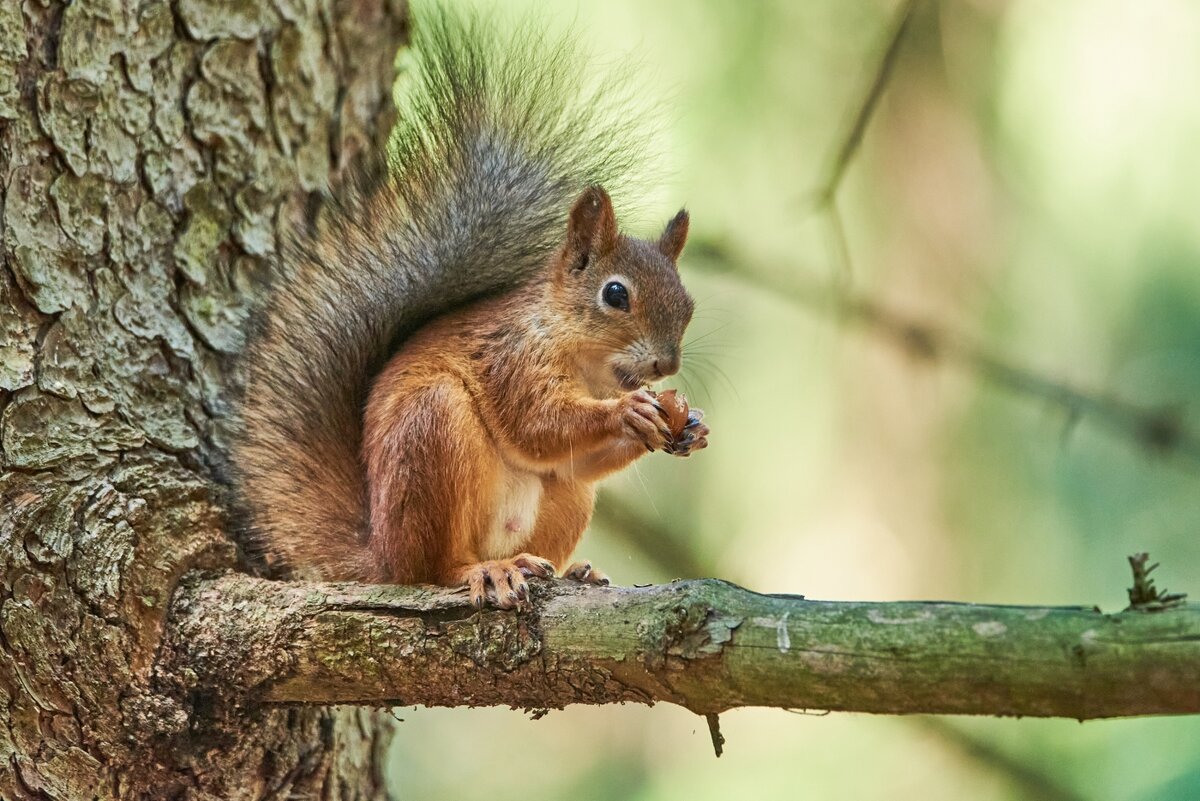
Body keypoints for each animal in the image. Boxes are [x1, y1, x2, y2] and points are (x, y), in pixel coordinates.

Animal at [229, 6, 705, 606]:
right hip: (433, 428)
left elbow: (575, 457)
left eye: (688, 304)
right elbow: (537, 424)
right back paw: (483, 570)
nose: (667, 364)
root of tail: (382, 554)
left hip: (566, 498)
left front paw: (689, 426)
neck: (585, 363)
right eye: (615, 294)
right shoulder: (510, 358)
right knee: (434, 566)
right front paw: (628, 412)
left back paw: (568, 570)